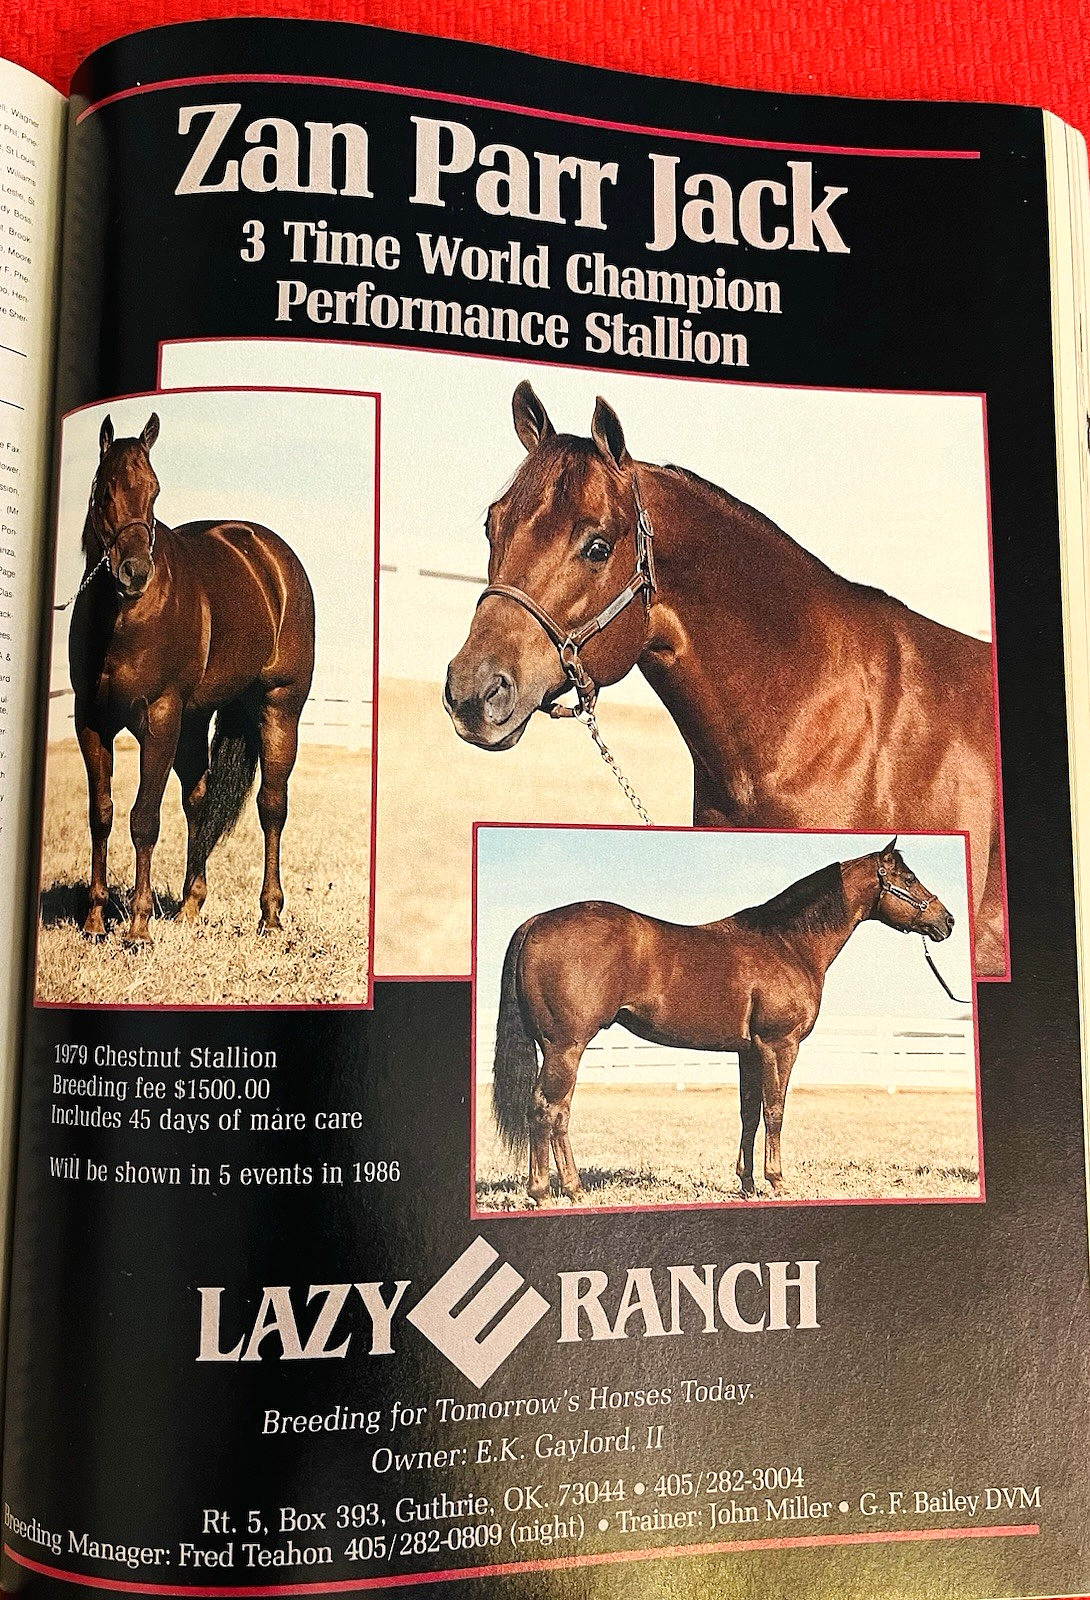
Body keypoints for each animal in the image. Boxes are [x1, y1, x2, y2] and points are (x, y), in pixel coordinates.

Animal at [68, 413, 315, 945]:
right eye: (103, 490)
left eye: (154, 490)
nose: (134, 572)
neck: (124, 619)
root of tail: (272, 557)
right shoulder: (91, 722)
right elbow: (102, 814)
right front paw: (95, 921)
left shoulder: (160, 719)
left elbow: (144, 818)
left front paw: (137, 928)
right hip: (197, 718)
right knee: (199, 800)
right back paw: (189, 906)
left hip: (279, 708)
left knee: (272, 806)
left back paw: (269, 915)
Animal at [490, 841, 955, 1206]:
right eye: (909, 878)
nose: (946, 921)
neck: (787, 945)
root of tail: (535, 922)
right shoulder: (779, 1045)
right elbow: (775, 1111)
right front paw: (777, 1181)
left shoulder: (748, 1051)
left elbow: (749, 1113)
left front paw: (747, 1184)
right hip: (565, 1046)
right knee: (545, 1108)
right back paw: (547, 1192)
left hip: (560, 1049)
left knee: (556, 1111)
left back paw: (566, 1189)